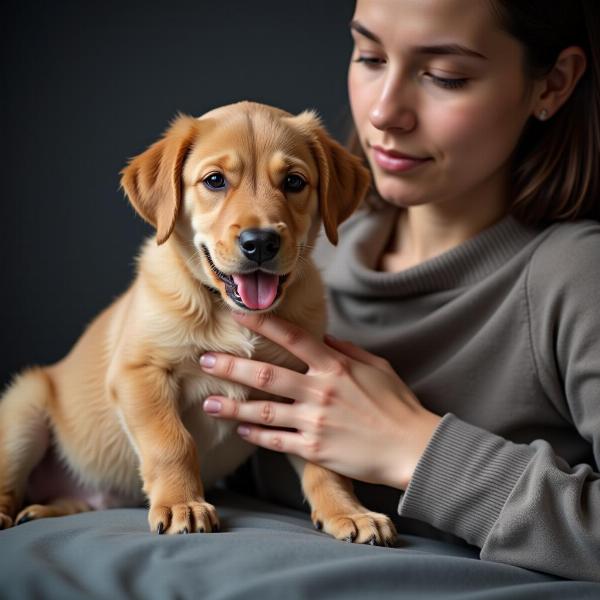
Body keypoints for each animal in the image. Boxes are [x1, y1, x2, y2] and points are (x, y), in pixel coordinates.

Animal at [0, 102, 396, 544]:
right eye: (215, 181)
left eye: (294, 182)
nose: (260, 242)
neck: (230, 313)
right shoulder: (139, 372)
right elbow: (171, 442)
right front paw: (181, 504)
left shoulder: (306, 391)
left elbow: (324, 463)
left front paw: (349, 512)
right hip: (23, 407)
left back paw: (41, 509)